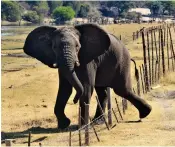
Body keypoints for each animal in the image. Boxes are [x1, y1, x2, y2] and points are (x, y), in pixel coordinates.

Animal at [23, 23, 152, 129]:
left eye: (77, 46)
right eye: (54, 47)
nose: (74, 100)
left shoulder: (88, 58)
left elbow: (86, 87)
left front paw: (81, 128)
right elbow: (64, 89)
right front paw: (63, 125)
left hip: (122, 60)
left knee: (122, 90)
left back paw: (146, 113)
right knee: (103, 92)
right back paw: (98, 121)